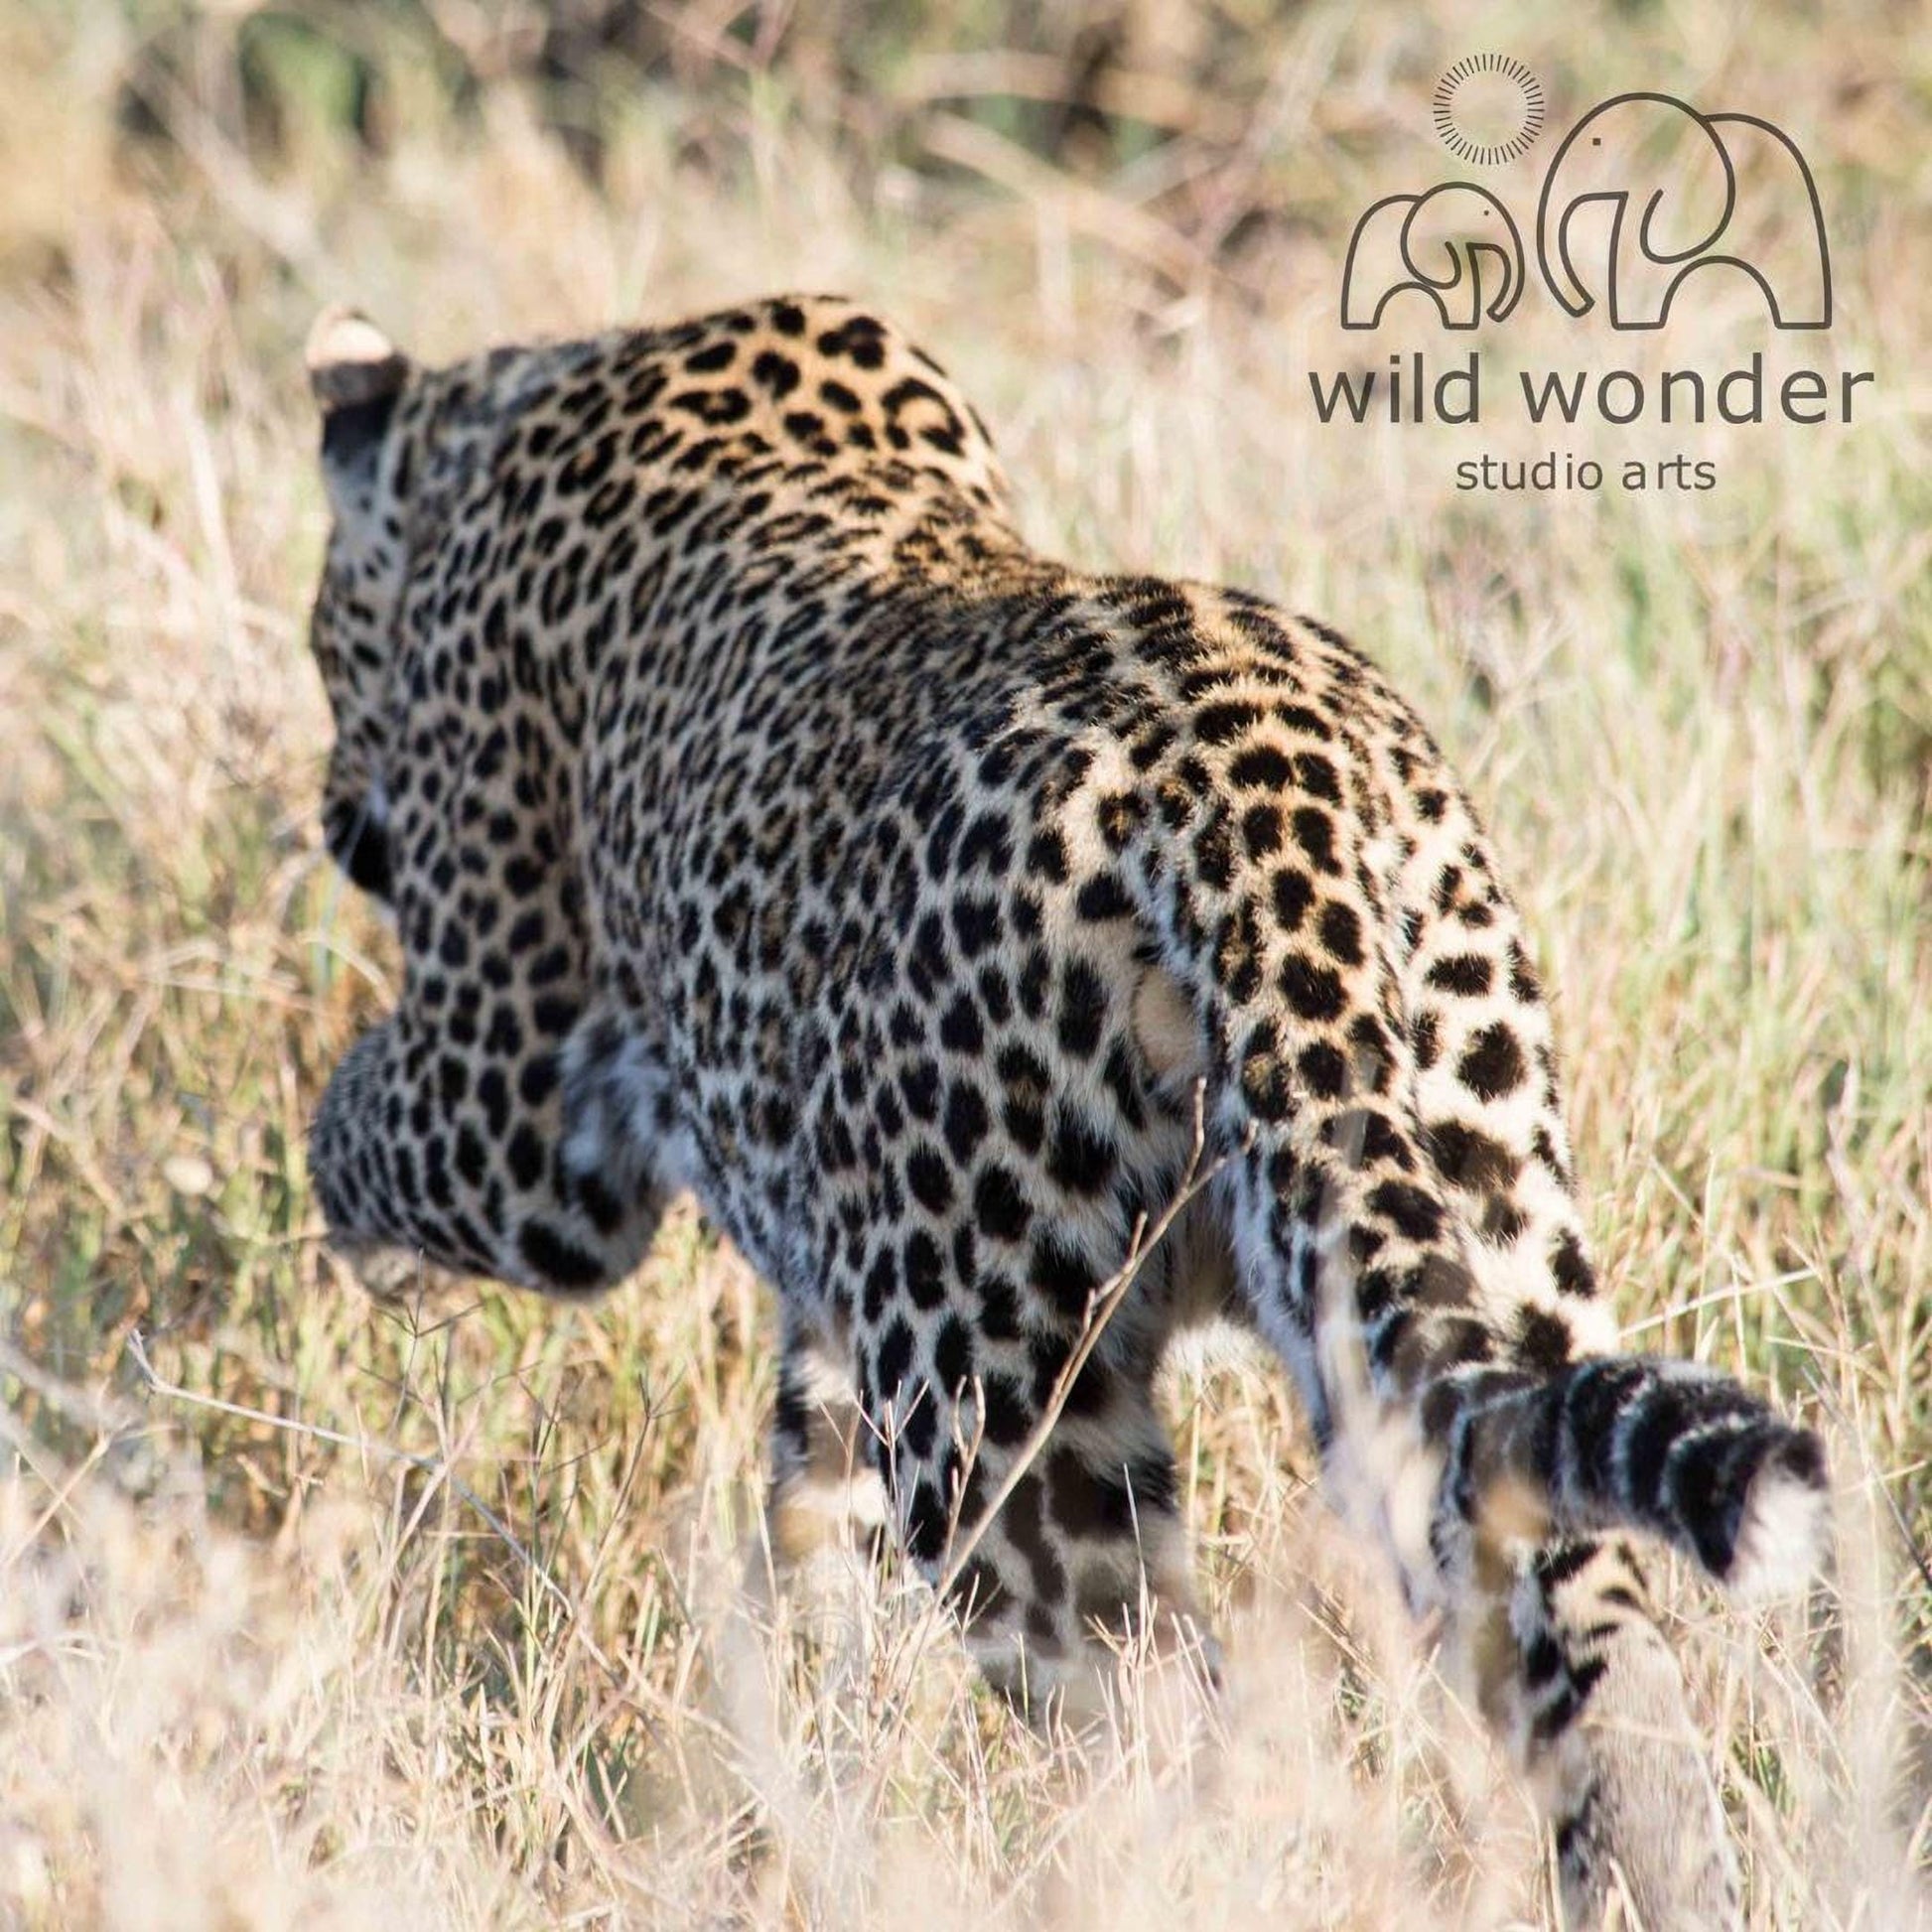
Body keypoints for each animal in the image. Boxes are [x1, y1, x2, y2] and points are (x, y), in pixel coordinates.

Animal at [300, 291, 1829, 1928]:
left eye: (325, 647)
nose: (333, 817)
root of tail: (1260, 794)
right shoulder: (836, 1297)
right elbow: (805, 1519)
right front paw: (784, 1747)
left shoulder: (515, 1099)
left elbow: (369, 1124)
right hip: (1475, 1234)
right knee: (1587, 1640)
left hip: (1006, 1427)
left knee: (1180, 1740)